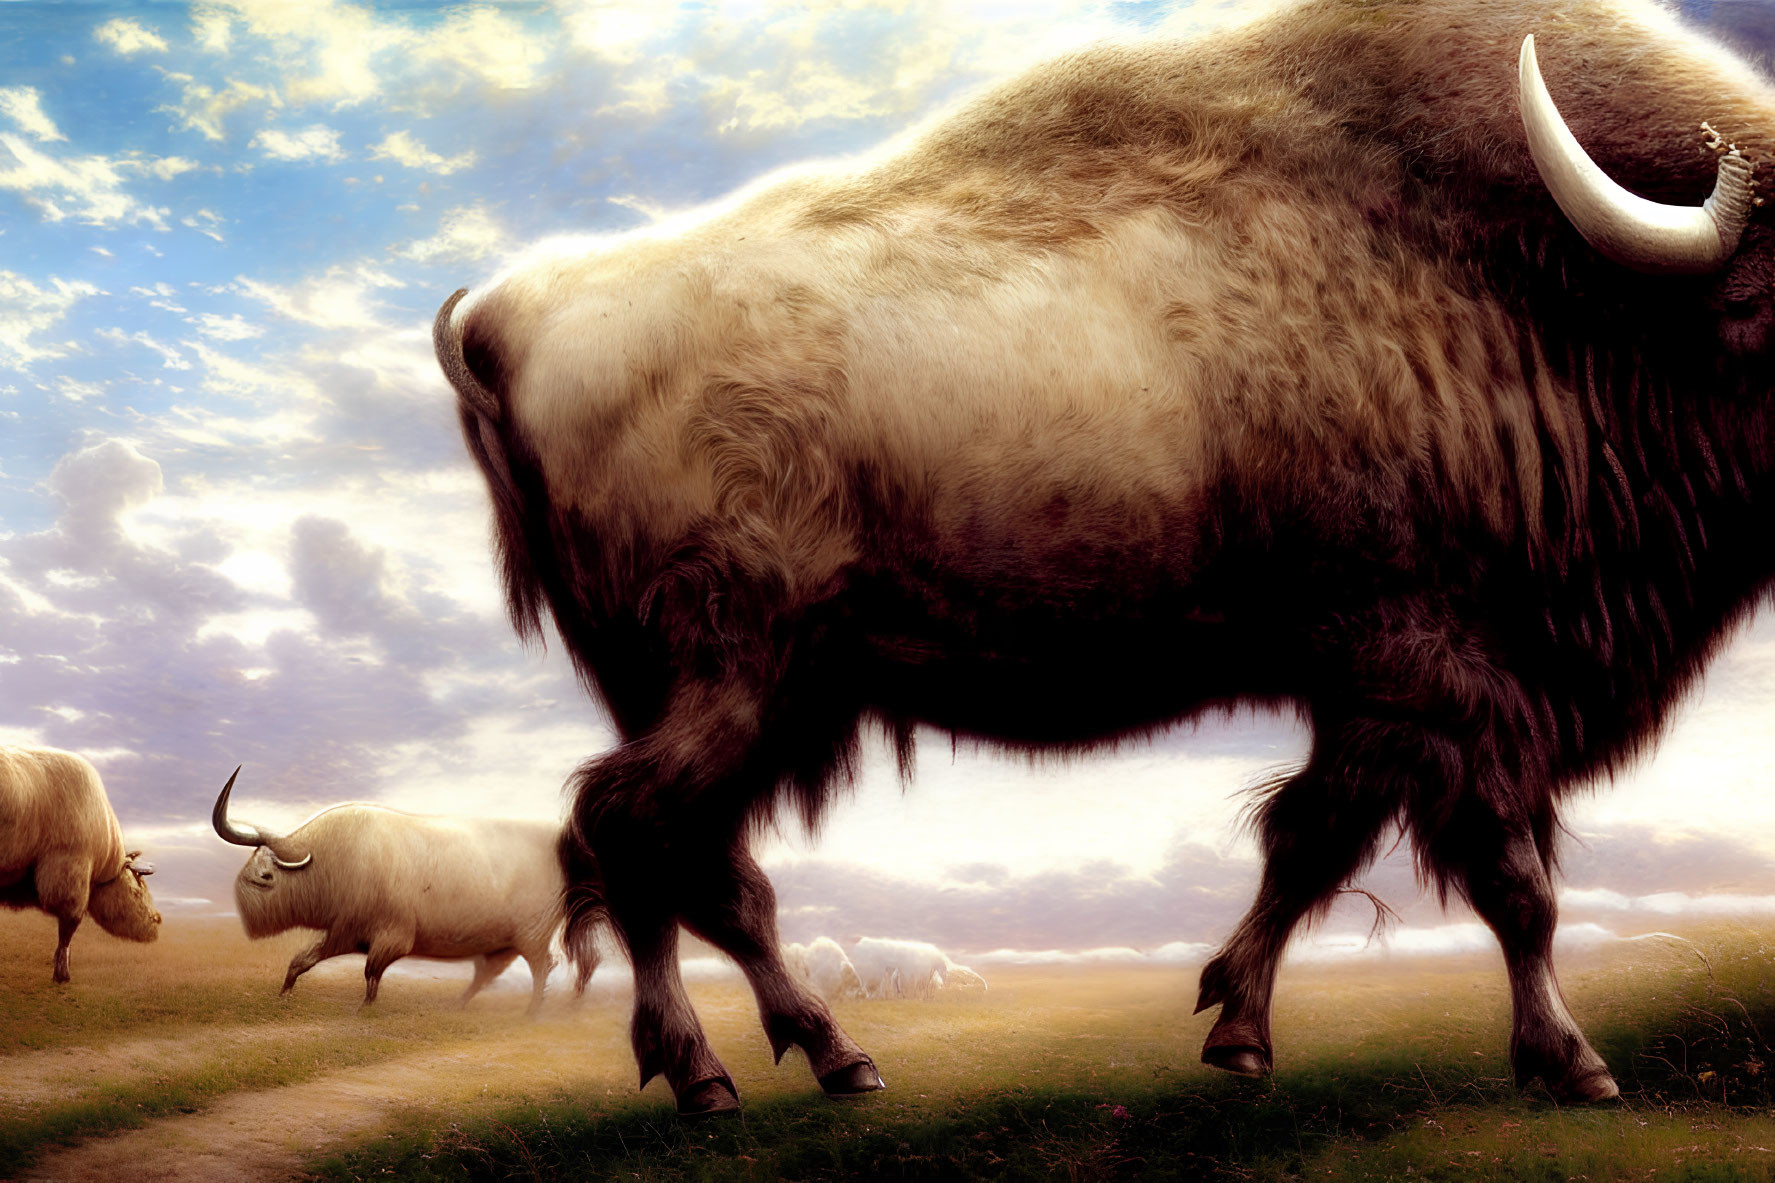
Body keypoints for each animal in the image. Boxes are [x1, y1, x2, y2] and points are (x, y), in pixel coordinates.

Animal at [211, 770, 599, 1008]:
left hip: (531, 937)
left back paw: (533, 1012)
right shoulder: (345, 933)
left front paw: (364, 1009)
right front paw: (283, 994)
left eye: (264, 877)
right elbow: (301, 962)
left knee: (543, 967)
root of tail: (565, 845)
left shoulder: (386, 936)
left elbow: (368, 973)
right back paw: (459, 1005)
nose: (245, 919)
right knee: (487, 974)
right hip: (502, 944)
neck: (333, 861)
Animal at [436, 0, 1775, 1115]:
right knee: (630, 829)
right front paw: (1575, 1063)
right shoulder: (1439, 674)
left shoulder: (1372, 699)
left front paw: (1236, 1031)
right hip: (741, 676)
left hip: (729, 691)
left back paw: (819, 1060)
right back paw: (727, 1072)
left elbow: (1308, 839)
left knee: (690, 861)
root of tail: (506, 315)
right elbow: (1510, 882)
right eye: (1771, 307)